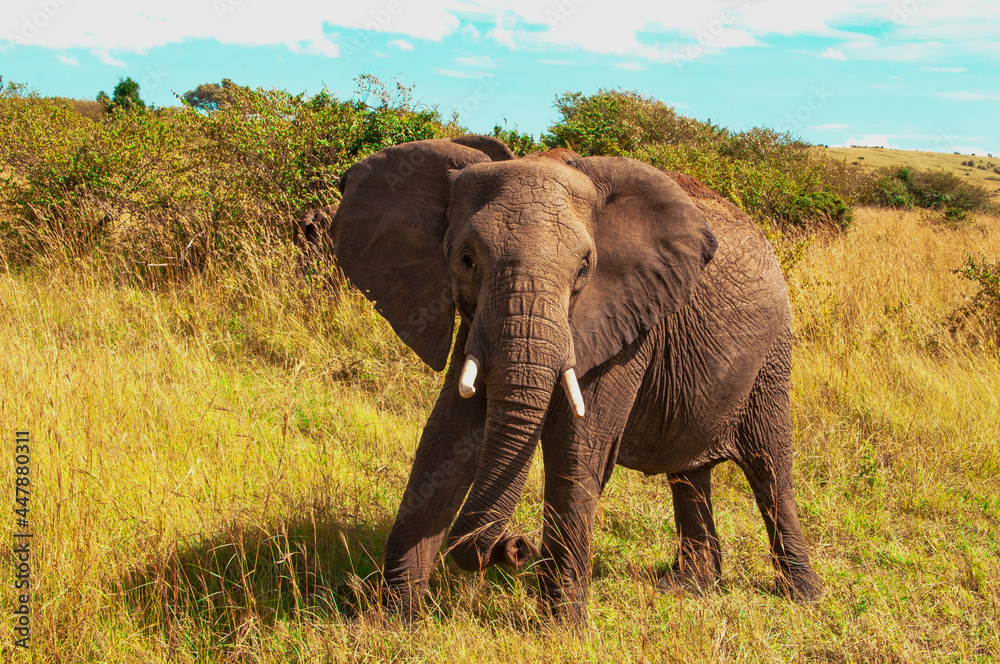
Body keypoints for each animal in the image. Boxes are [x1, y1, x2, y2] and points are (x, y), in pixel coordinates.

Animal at [328, 134, 822, 621]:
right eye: (466, 260)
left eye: (584, 269)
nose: (516, 547)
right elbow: (447, 434)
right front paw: (394, 620)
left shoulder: (628, 321)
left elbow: (579, 445)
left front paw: (562, 626)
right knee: (689, 473)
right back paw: (689, 587)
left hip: (773, 355)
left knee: (770, 466)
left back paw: (803, 597)